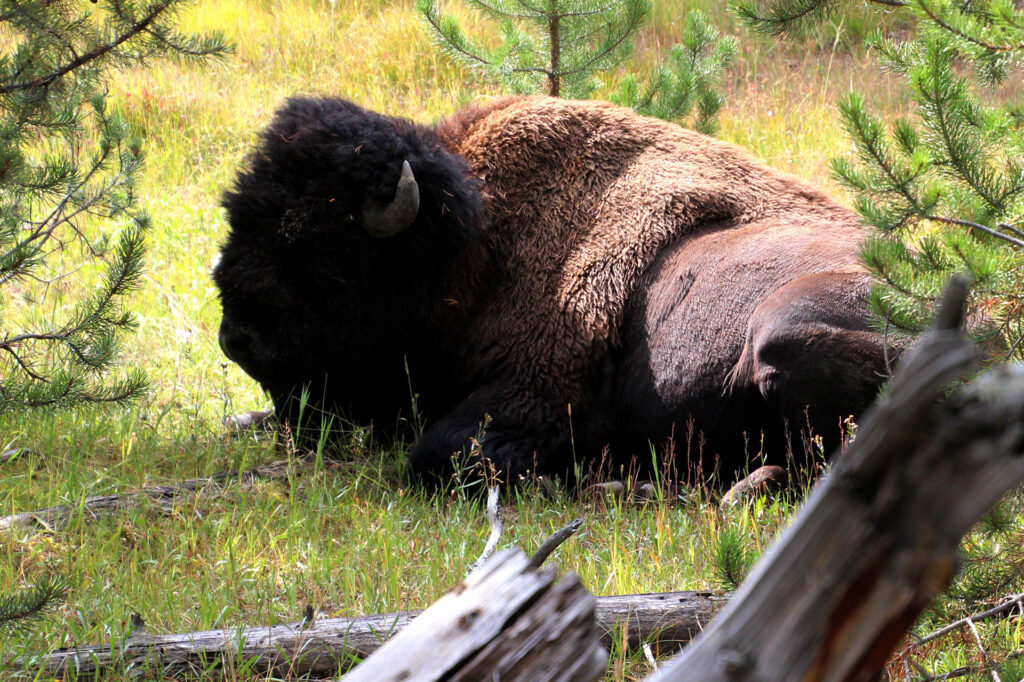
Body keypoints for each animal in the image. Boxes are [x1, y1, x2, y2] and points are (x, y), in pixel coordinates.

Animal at [218, 94, 897, 483]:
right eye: (238, 217)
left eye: (322, 253)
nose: (236, 339)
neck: (476, 242)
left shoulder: (539, 395)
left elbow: (434, 454)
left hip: (782, 334)